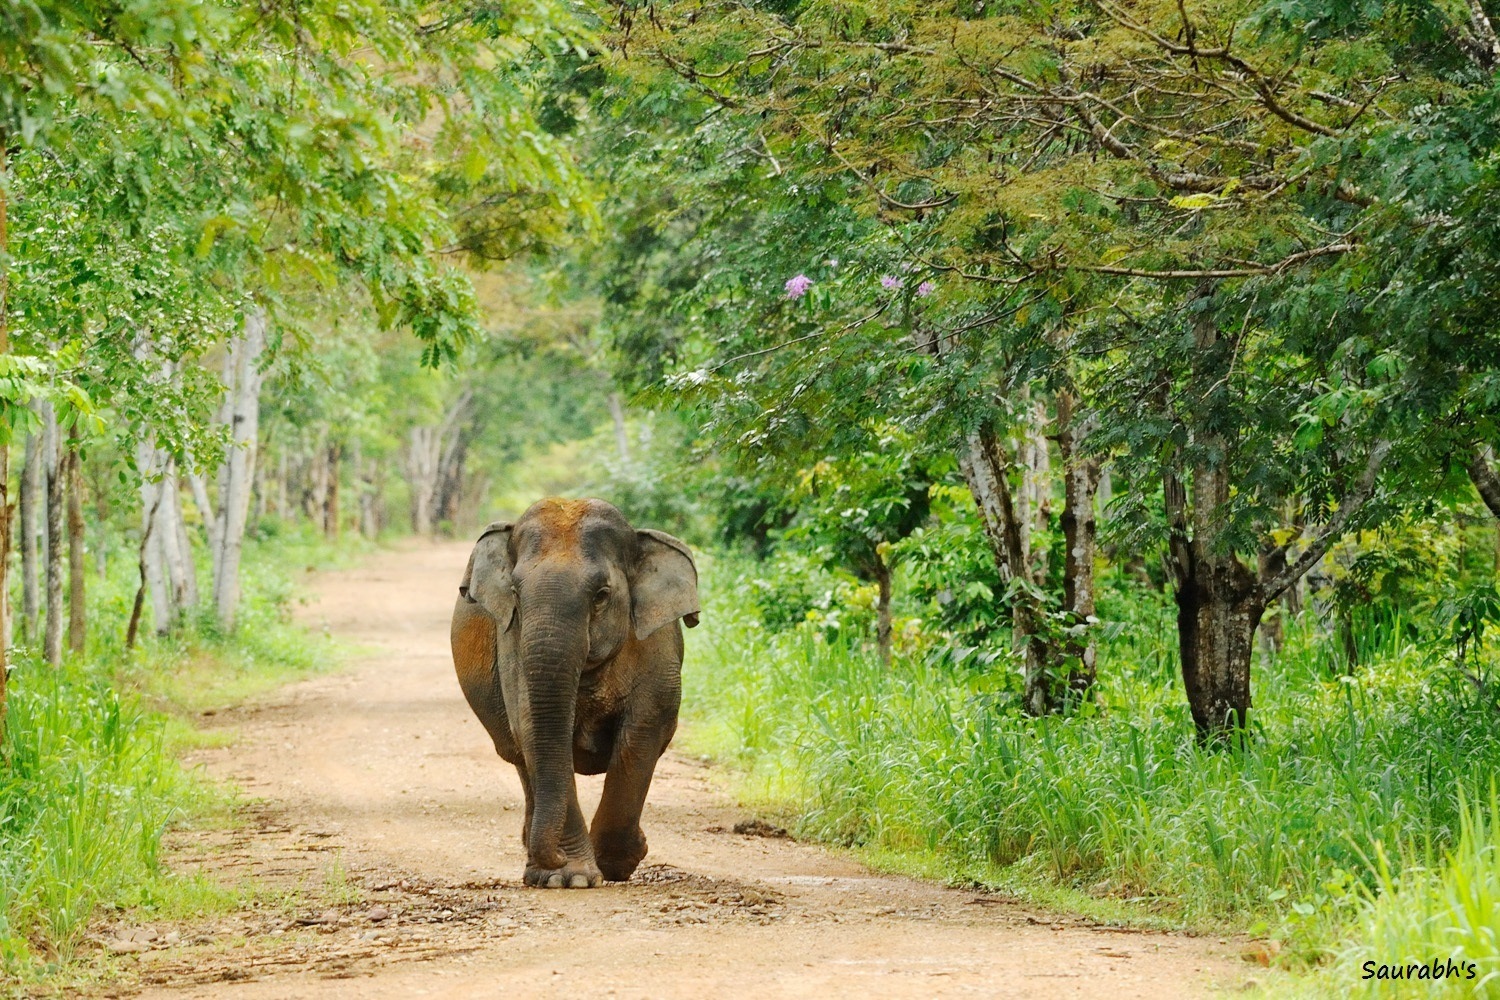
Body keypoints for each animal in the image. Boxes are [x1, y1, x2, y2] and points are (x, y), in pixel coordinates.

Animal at [447, 500, 699, 893]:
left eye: (601, 595)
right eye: (515, 593)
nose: (553, 856)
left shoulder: (656, 649)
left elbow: (641, 733)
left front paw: (616, 863)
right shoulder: (512, 644)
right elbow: (535, 731)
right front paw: (568, 877)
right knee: (520, 758)